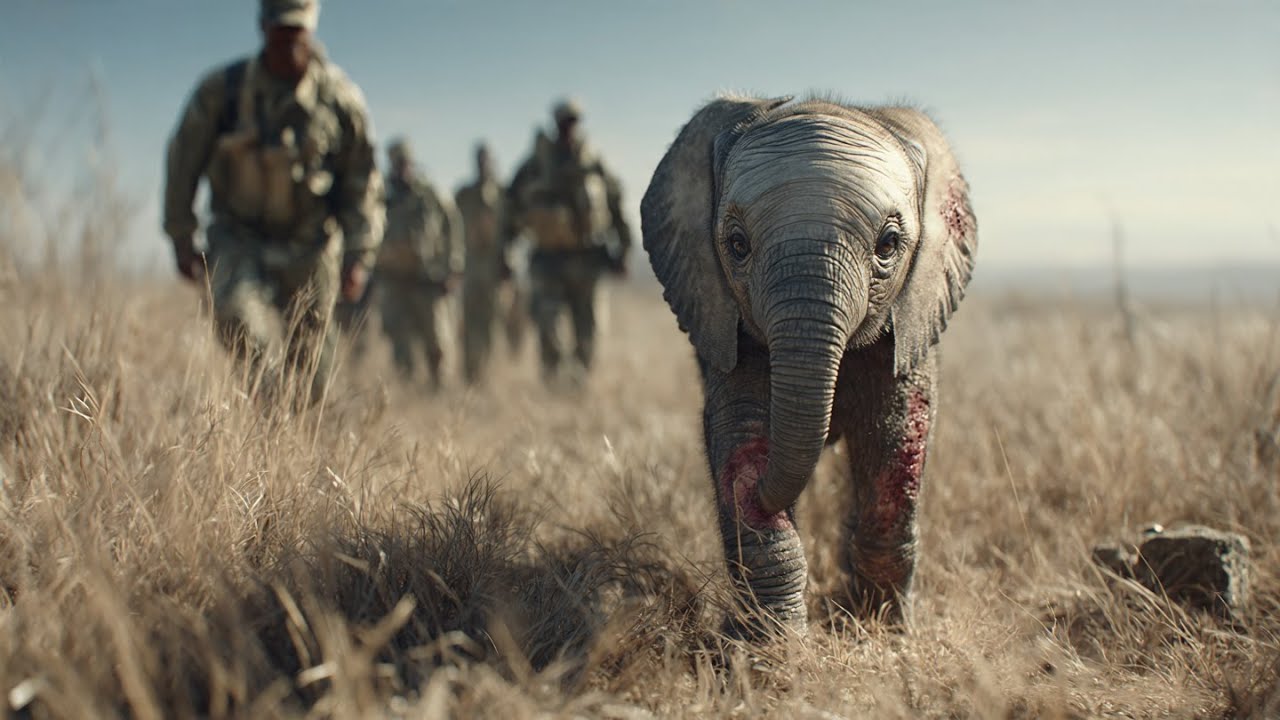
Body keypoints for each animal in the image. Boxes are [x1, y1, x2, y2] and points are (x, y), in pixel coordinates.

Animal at [641, 95, 977, 636]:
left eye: (888, 245)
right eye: (737, 244)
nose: (761, 491)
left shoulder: (908, 321)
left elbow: (897, 439)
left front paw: (883, 631)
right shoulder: (730, 326)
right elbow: (741, 436)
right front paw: (777, 647)